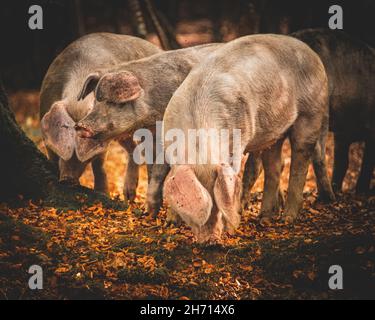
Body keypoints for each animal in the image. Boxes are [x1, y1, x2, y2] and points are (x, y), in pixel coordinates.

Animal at [40, 33, 162, 198]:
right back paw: (128, 196)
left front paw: (103, 194)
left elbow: (98, 163)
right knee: (134, 148)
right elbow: (52, 153)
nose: (67, 179)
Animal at [162, 35, 334, 244]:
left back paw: (287, 219)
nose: (211, 241)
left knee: (300, 160)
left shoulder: (236, 142)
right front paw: (171, 223)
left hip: (312, 112)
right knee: (274, 167)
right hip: (273, 133)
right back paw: (264, 218)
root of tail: (313, 54)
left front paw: (232, 229)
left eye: (218, 204)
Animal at [242, 29, 374, 208]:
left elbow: (342, 161)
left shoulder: (343, 136)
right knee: (317, 153)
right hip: (318, 111)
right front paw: (359, 194)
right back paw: (328, 199)